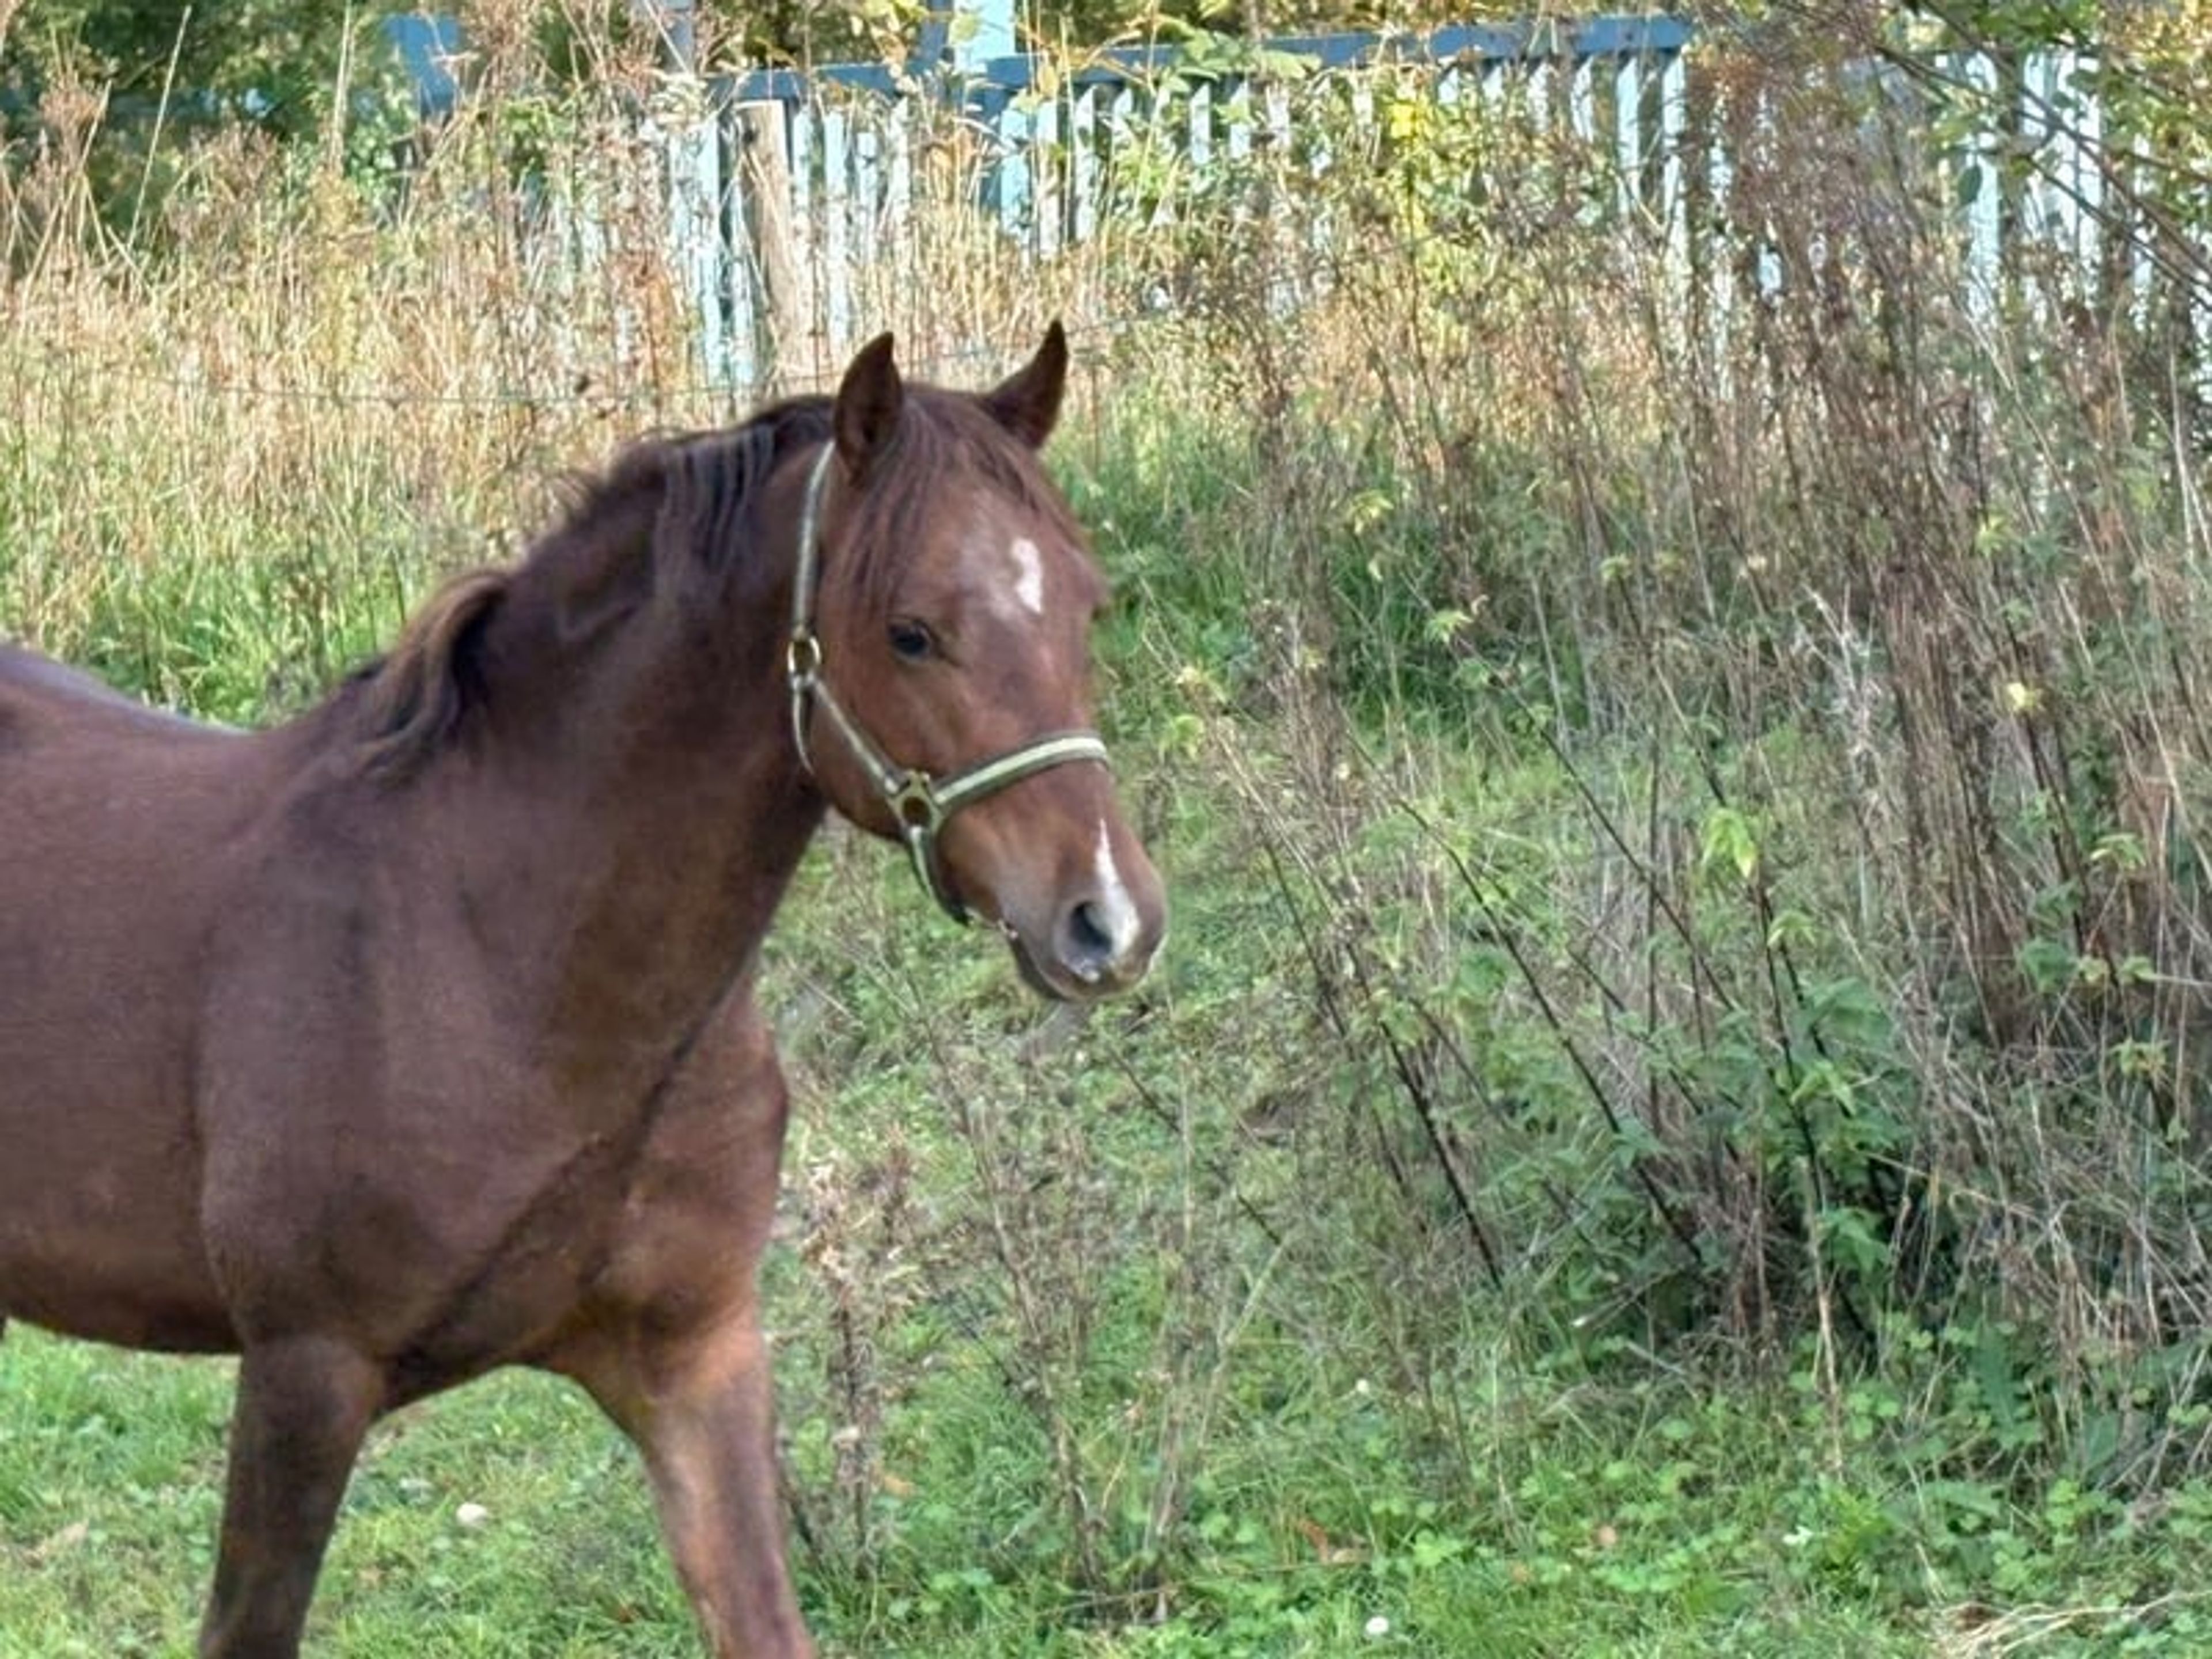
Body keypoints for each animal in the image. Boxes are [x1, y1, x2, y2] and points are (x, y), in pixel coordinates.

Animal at [0, 324, 1166, 1657]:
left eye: (1087, 603)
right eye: (912, 630)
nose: (1108, 920)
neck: (503, 960)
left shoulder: (694, 1358)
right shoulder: (305, 1373)